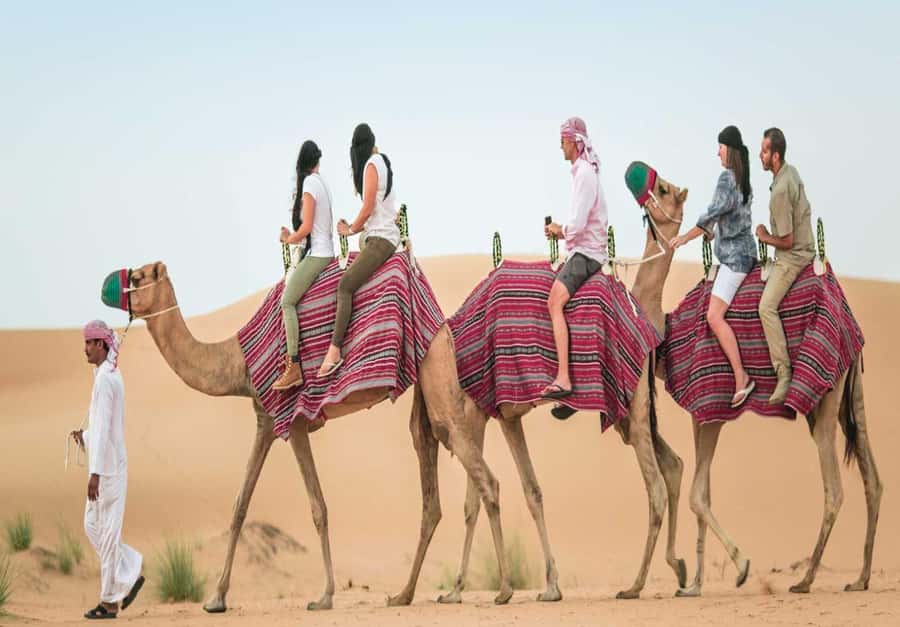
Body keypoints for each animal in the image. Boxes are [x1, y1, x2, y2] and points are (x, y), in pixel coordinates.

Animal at [123, 260, 521, 612]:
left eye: (138, 277)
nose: (115, 290)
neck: (237, 362)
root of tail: (439, 317)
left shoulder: (293, 422)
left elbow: (318, 507)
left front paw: (325, 596)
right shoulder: (265, 420)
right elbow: (240, 505)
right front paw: (216, 599)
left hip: (435, 369)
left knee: (480, 471)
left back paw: (503, 590)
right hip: (425, 376)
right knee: (430, 482)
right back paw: (403, 595)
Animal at [432, 175, 692, 603]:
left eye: (667, 190)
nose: (647, 186)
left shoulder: (483, 408)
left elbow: (484, 497)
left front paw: (466, 590)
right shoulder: (500, 412)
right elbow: (523, 491)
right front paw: (546, 586)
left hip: (632, 410)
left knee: (654, 486)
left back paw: (635, 585)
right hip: (633, 414)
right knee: (672, 466)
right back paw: (680, 570)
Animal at [625, 167, 883, 597]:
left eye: (662, 188)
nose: (638, 181)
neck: (667, 335)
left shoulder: (711, 404)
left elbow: (697, 495)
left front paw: (741, 567)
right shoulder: (700, 412)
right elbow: (703, 492)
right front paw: (693, 585)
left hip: (825, 398)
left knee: (834, 489)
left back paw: (805, 580)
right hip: (850, 390)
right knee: (873, 479)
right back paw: (860, 578)